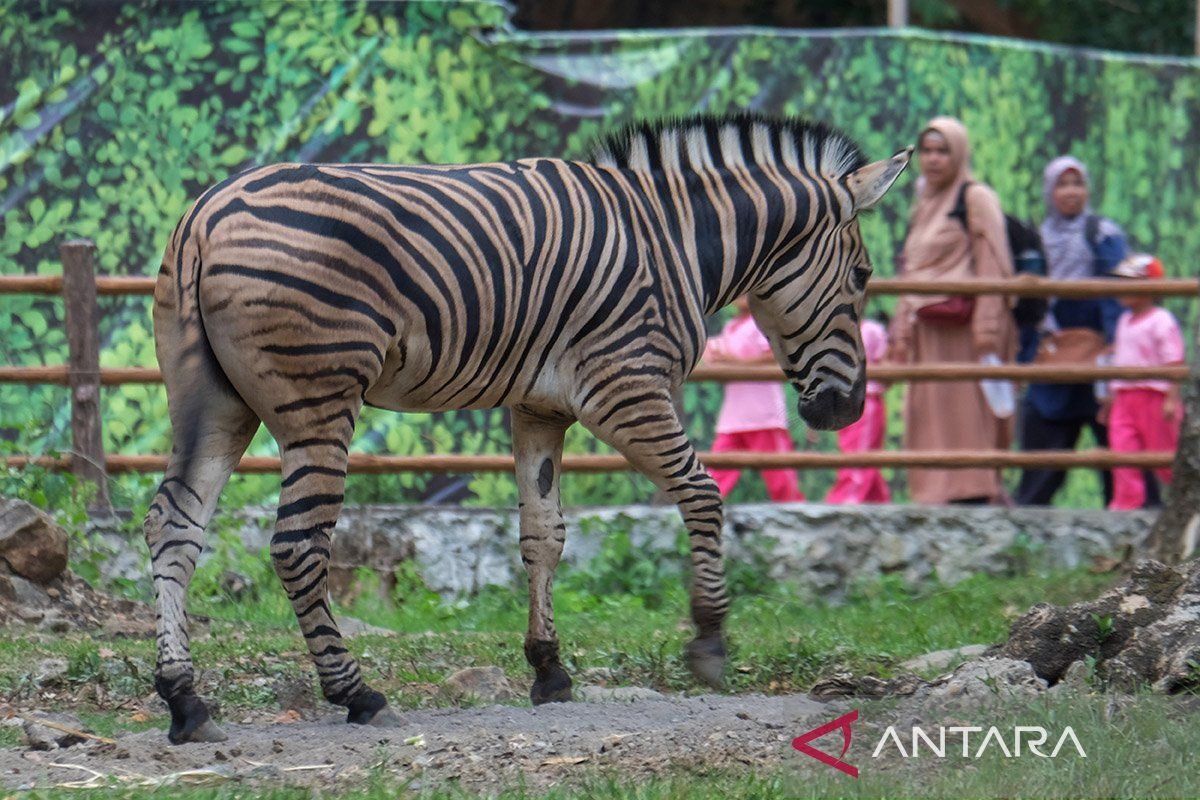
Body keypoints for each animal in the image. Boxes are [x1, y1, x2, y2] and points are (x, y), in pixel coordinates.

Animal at [142, 115, 907, 748]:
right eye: (863, 275)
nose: (844, 411)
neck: (676, 242)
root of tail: (205, 215)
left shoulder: (541, 408)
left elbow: (544, 535)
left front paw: (549, 670)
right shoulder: (625, 388)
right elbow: (702, 494)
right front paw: (711, 640)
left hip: (214, 403)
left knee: (173, 525)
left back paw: (185, 700)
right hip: (320, 402)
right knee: (298, 546)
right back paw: (357, 694)